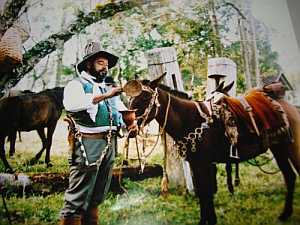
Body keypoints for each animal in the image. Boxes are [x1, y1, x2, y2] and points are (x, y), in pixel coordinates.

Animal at [128, 75, 300, 225]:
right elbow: (203, 194)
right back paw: (285, 214)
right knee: (290, 177)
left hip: (291, 148)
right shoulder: (197, 165)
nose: (129, 127)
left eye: (144, 98)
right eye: (130, 99)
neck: (190, 119)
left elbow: (206, 193)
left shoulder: (204, 164)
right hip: (279, 149)